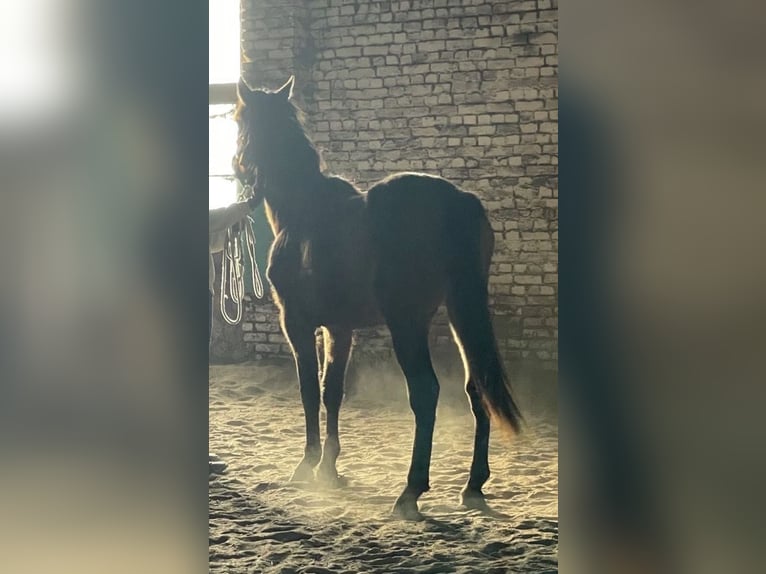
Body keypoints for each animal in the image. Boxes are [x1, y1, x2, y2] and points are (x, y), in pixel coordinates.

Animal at [232, 76, 522, 520]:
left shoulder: (296, 323)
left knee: (426, 393)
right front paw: (329, 467)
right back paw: (473, 486)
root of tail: (458, 201)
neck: (303, 212)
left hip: (408, 322)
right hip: (460, 313)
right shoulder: (340, 328)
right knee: (477, 387)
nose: (236, 164)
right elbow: (332, 389)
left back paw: (410, 492)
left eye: (237, 119)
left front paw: (306, 465)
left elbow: (308, 388)